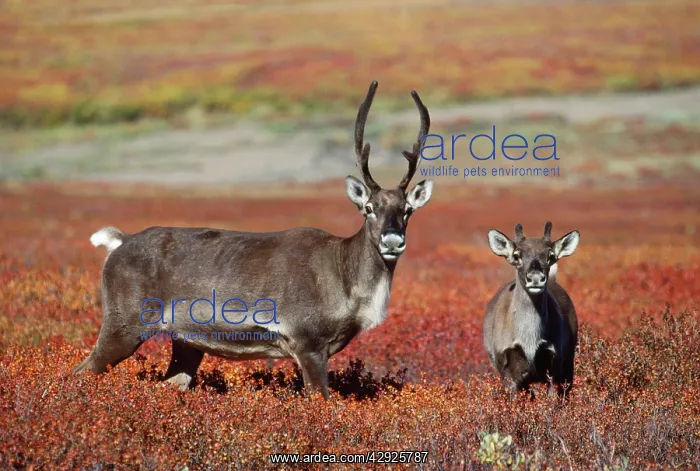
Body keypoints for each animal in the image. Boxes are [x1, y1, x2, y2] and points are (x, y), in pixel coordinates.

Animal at [72, 81, 434, 399]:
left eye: (407, 210)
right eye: (369, 208)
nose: (392, 240)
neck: (347, 283)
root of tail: (119, 242)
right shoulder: (307, 343)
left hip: (186, 341)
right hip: (124, 323)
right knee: (81, 371)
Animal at [482, 221, 580, 398]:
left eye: (550, 255)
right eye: (516, 255)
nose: (535, 277)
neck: (529, 341)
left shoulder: (555, 364)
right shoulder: (507, 371)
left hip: (569, 361)